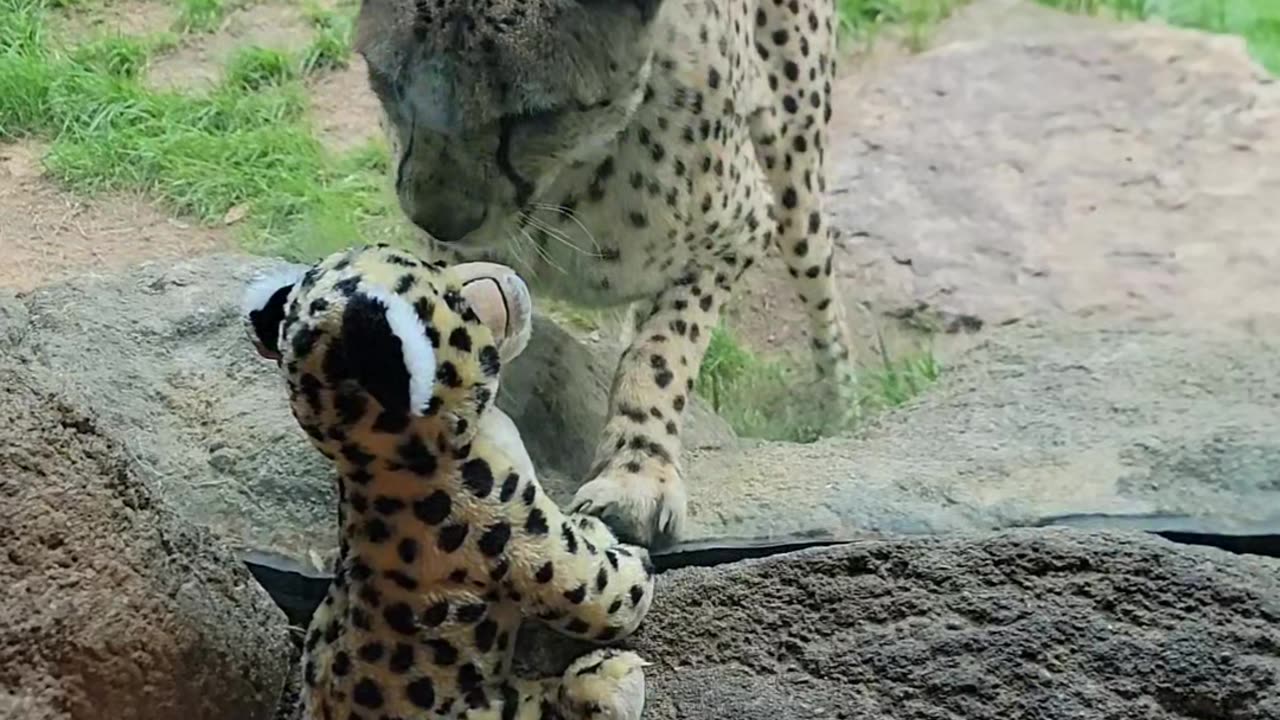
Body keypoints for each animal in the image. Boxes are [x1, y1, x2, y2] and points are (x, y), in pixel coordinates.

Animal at [243, 243, 655, 712]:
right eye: (452, 284)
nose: (508, 272)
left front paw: (593, 527)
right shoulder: (523, 535)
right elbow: (599, 592)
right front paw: (633, 562)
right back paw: (612, 680)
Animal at [358, 0, 860, 543]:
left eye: (533, 116)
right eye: (388, 82)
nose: (435, 218)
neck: (570, 180)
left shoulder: (739, 232)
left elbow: (662, 353)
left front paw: (638, 475)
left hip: (795, 164)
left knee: (822, 292)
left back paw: (840, 408)